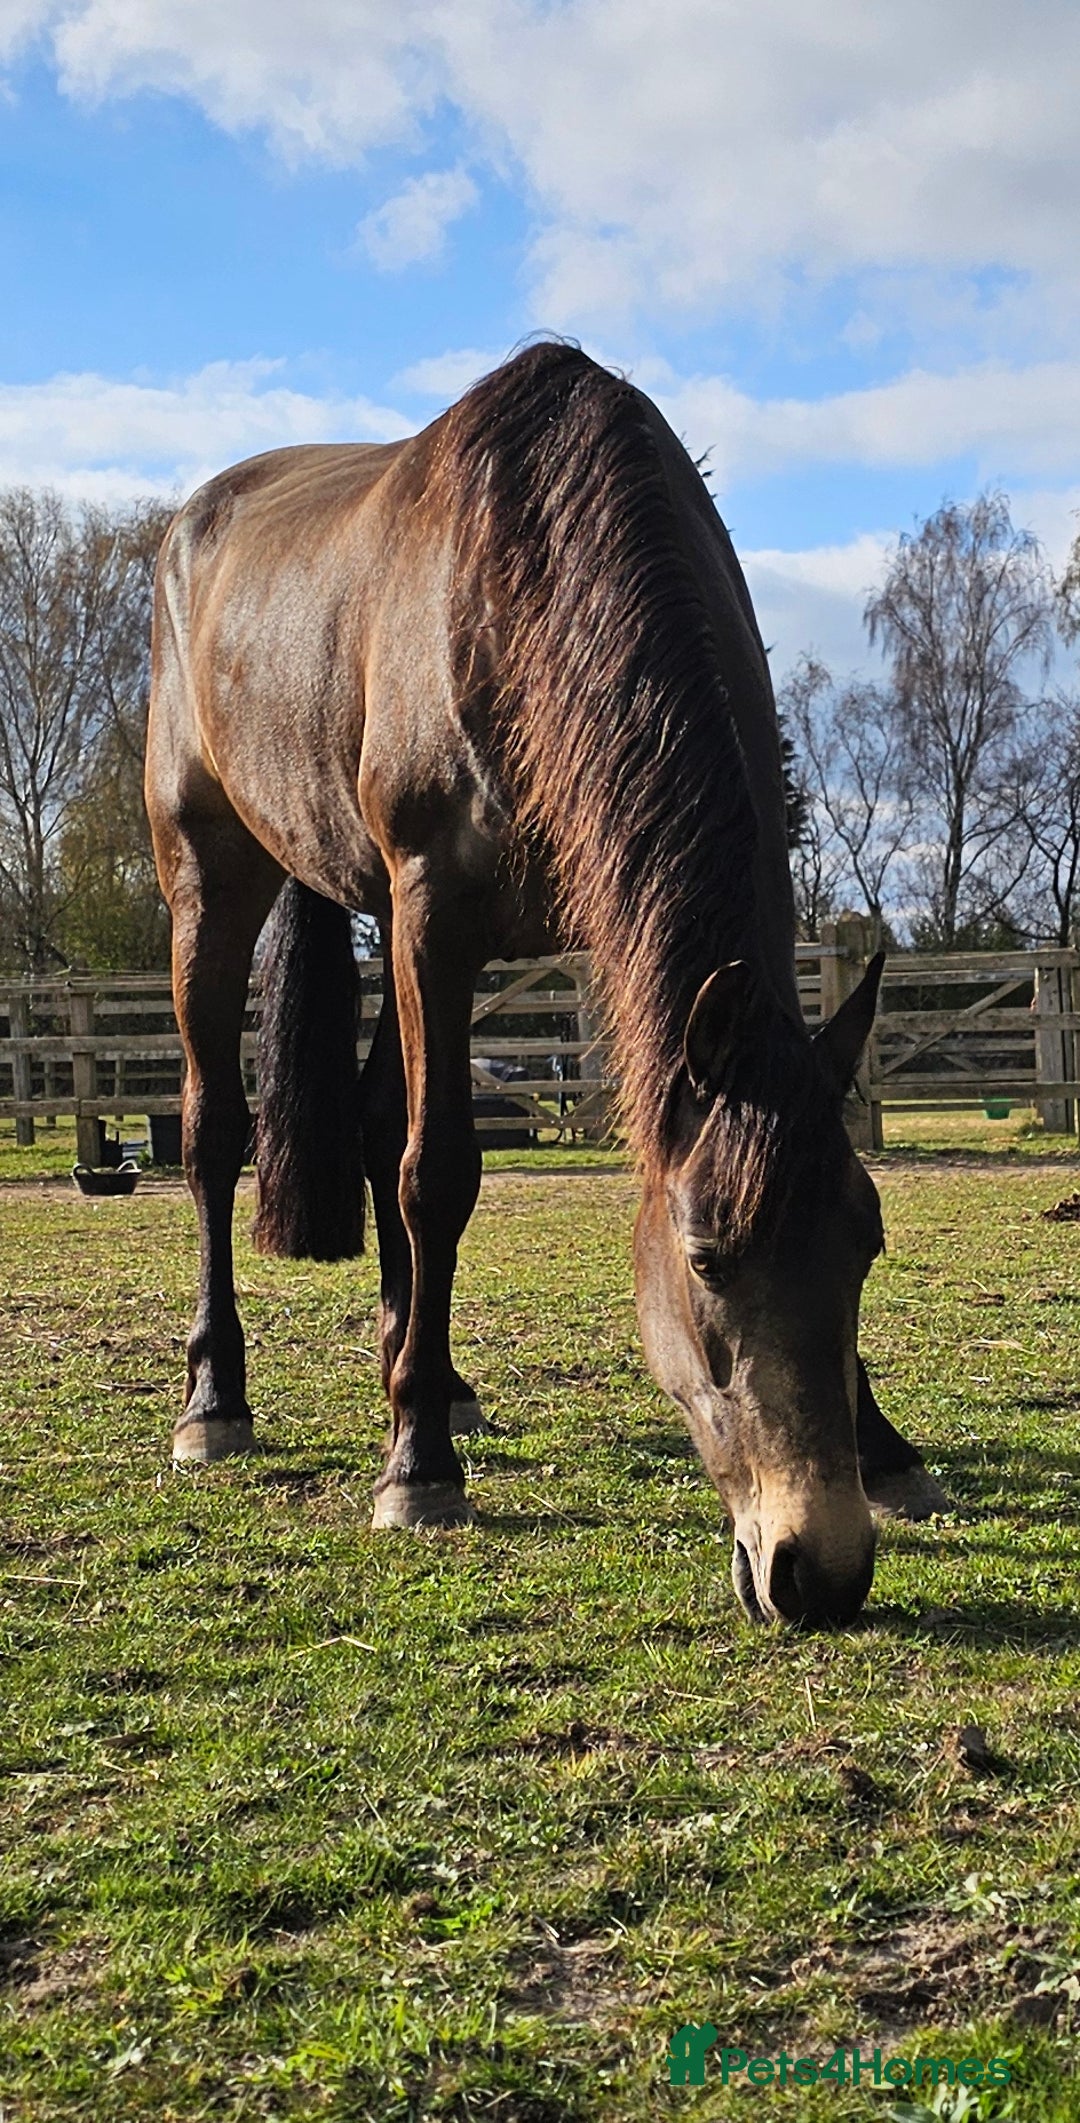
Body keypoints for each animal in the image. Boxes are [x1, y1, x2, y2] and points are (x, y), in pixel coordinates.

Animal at [146, 340, 940, 1628]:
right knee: (217, 1135)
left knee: (370, 1119)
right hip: (213, 882)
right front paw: (415, 1468)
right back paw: (221, 1402)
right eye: (706, 1257)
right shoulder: (434, 913)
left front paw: (885, 1443)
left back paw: (427, 1372)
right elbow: (438, 1174)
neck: (527, 575)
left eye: (864, 1245)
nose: (817, 1570)